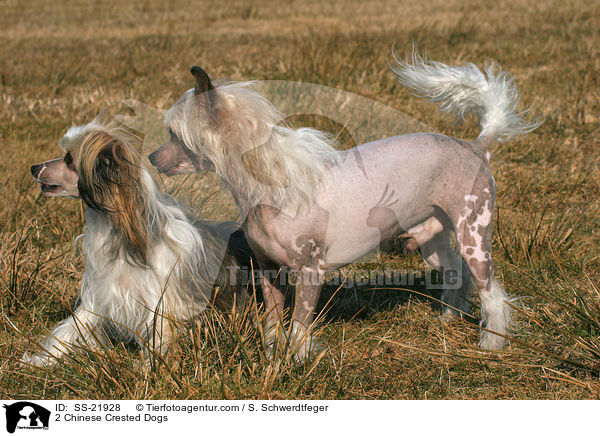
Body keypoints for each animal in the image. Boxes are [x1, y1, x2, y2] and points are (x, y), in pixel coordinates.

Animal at [25, 117, 253, 366]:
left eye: (68, 159)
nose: (33, 168)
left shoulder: (160, 302)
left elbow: (159, 338)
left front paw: (151, 369)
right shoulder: (101, 295)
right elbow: (72, 327)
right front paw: (41, 359)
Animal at [149, 52, 540, 360]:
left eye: (173, 135)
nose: (152, 158)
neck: (272, 186)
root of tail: (475, 146)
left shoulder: (311, 271)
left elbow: (299, 325)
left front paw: (296, 360)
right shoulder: (269, 271)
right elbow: (273, 324)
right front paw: (272, 359)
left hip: (474, 233)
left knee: (491, 292)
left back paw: (491, 343)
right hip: (433, 240)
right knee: (456, 272)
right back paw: (448, 318)